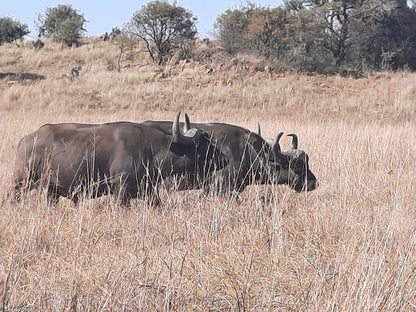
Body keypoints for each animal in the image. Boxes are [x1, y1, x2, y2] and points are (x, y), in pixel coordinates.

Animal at [13, 111, 228, 206]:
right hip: (21, 182)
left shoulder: (149, 191)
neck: (150, 150)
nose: (224, 159)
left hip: (52, 191)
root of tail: (26, 139)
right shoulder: (121, 192)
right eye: (202, 145)